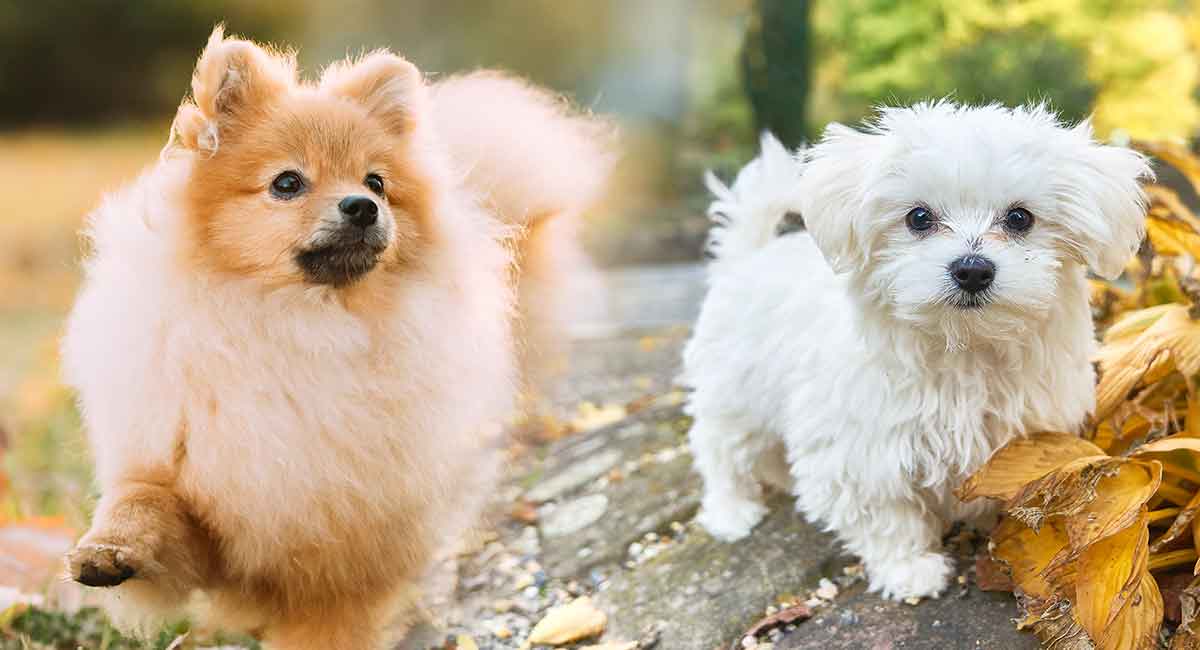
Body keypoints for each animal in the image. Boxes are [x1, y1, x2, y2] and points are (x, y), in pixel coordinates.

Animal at [60, 26, 614, 650]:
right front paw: (108, 550)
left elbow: (331, 615)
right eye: (287, 183)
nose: (362, 206)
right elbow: (143, 501)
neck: (297, 326)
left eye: (376, 182)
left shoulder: (343, 552)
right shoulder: (182, 468)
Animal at [681, 103, 1147, 602]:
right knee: (719, 449)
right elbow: (885, 515)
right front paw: (910, 569)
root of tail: (748, 256)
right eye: (919, 217)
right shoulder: (862, 451)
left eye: (1020, 218)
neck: (963, 349)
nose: (972, 269)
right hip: (735, 395)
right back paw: (731, 512)